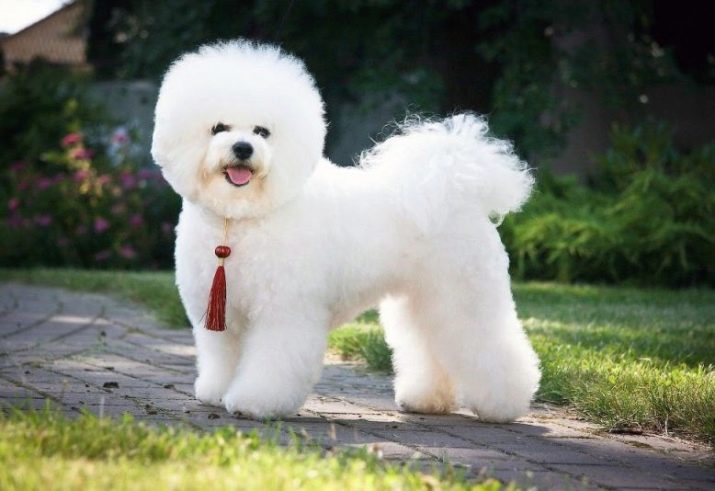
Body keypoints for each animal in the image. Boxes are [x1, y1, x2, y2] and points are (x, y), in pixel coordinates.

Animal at [152, 40, 541, 421]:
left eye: (263, 132)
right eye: (218, 128)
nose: (244, 148)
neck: (241, 218)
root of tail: (456, 187)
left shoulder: (285, 309)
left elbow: (274, 361)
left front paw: (255, 402)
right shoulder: (223, 312)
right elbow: (224, 357)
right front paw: (218, 392)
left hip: (464, 294)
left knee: (488, 345)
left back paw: (504, 405)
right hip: (423, 299)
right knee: (430, 344)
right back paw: (427, 400)